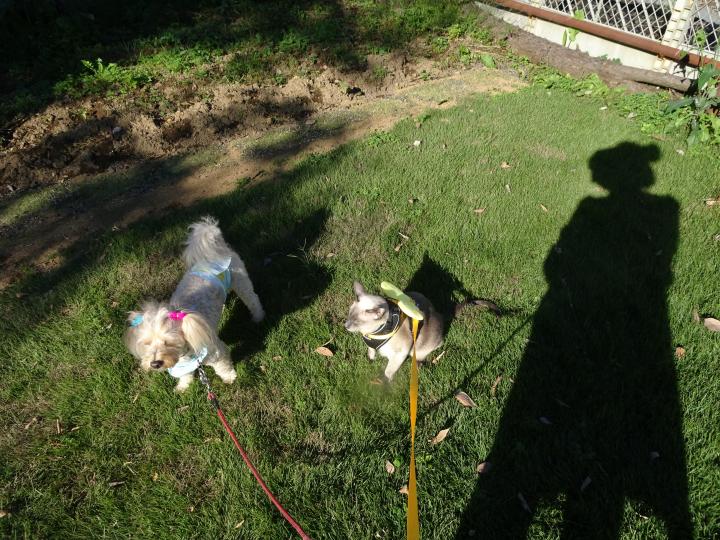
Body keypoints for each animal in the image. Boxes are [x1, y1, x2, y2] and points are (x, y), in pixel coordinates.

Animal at [124, 217, 265, 392]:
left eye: (168, 342)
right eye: (147, 343)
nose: (155, 364)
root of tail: (217, 249)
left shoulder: (216, 351)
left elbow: (223, 367)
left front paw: (229, 378)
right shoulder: (181, 366)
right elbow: (184, 375)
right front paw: (183, 386)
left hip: (241, 282)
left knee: (253, 299)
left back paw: (259, 317)